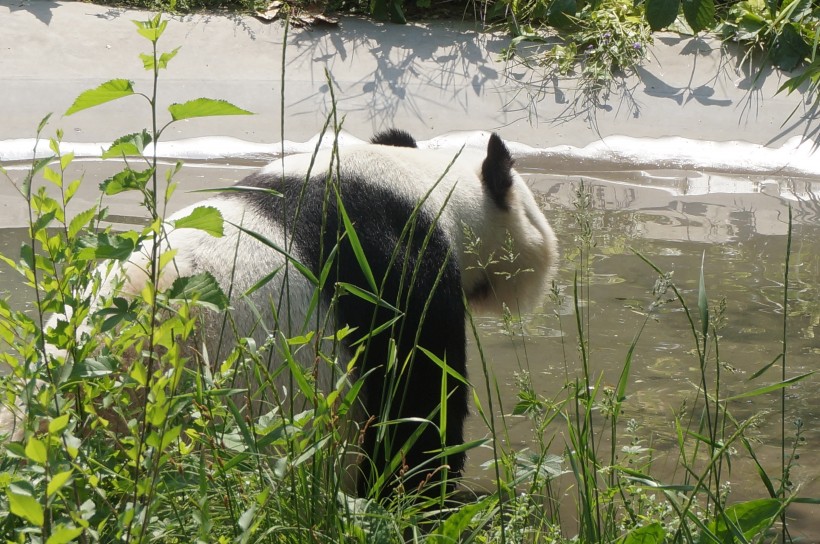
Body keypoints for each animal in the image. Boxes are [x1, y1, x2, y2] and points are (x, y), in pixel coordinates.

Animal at [0, 131, 556, 498]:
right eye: (531, 211)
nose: (546, 258)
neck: (425, 184)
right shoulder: (398, 268)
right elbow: (417, 405)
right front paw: (421, 497)